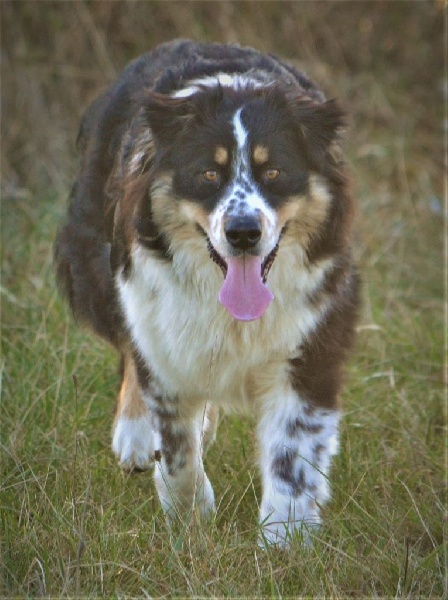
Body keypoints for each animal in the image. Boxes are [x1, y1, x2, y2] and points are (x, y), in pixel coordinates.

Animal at [54, 39, 359, 546]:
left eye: (274, 172)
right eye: (208, 175)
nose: (243, 232)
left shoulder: (311, 338)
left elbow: (292, 455)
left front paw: (284, 543)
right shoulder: (160, 323)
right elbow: (177, 446)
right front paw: (190, 518)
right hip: (100, 264)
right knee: (130, 348)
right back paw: (135, 436)